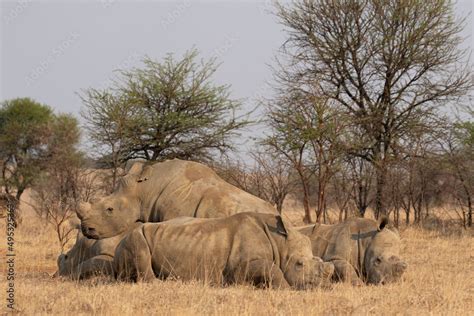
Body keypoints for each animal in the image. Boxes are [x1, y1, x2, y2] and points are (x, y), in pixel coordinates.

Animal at [113, 211, 334, 290]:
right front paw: (286, 289)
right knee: (138, 245)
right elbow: (272, 269)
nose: (323, 287)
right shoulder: (240, 267)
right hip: (129, 238)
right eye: (299, 264)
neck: (280, 242)